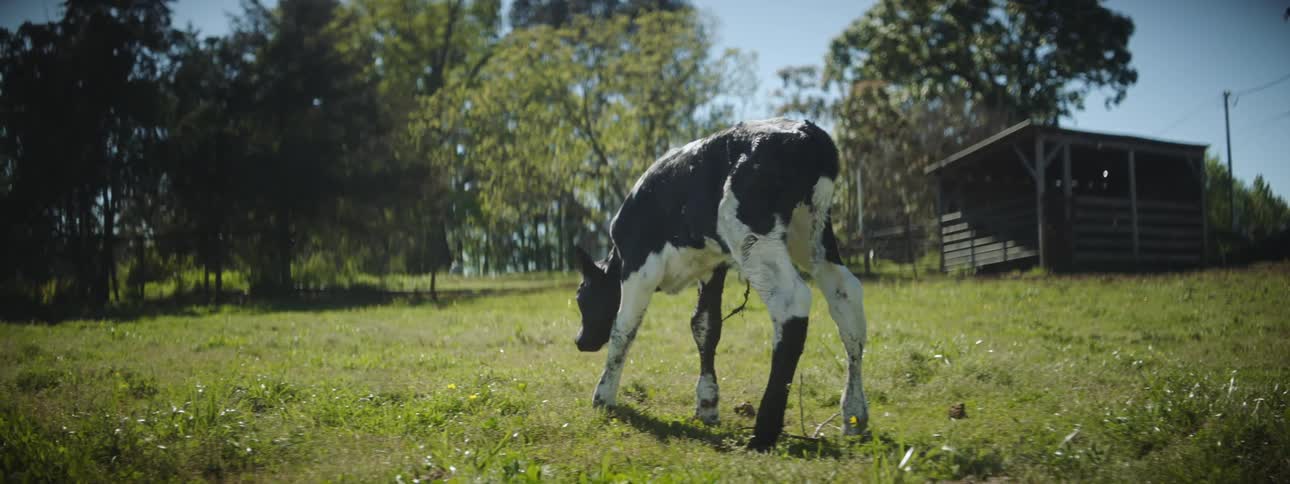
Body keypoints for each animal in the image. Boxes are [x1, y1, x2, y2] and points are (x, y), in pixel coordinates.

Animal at [572, 118, 869, 451]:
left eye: (582, 298)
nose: (580, 341)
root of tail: (804, 132)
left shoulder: (639, 266)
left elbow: (623, 329)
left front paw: (603, 395)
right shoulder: (712, 267)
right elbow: (705, 327)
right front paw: (707, 403)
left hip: (753, 237)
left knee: (791, 302)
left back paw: (763, 432)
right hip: (812, 234)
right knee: (846, 298)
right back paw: (854, 415)